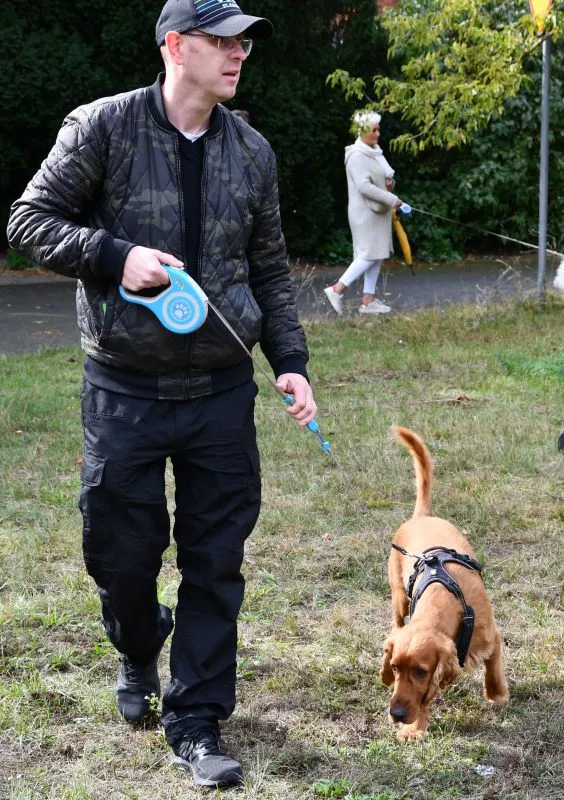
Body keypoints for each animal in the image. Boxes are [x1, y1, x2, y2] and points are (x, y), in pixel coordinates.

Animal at [380, 426, 509, 740]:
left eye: (420, 671)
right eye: (394, 667)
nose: (395, 714)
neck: (446, 599)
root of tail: (421, 517)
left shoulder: (492, 636)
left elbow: (493, 668)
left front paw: (496, 694)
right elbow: (425, 697)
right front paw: (414, 728)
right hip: (398, 596)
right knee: (397, 619)